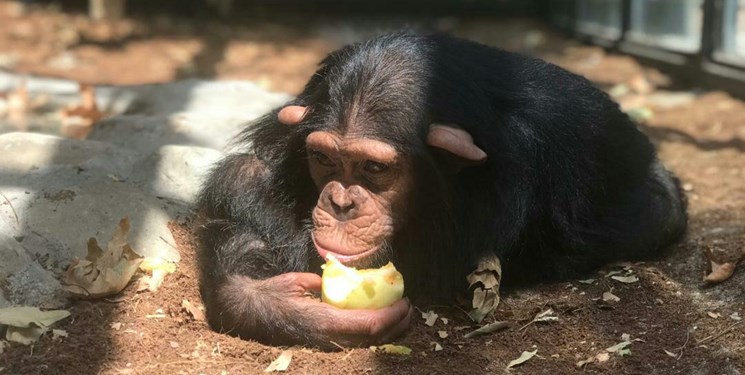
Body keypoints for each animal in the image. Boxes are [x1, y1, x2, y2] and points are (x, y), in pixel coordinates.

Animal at [193, 32, 684, 350]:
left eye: (374, 167)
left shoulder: (518, 177)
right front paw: (275, 302)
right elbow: (245, 179)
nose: (341, 202)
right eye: (325, 159)